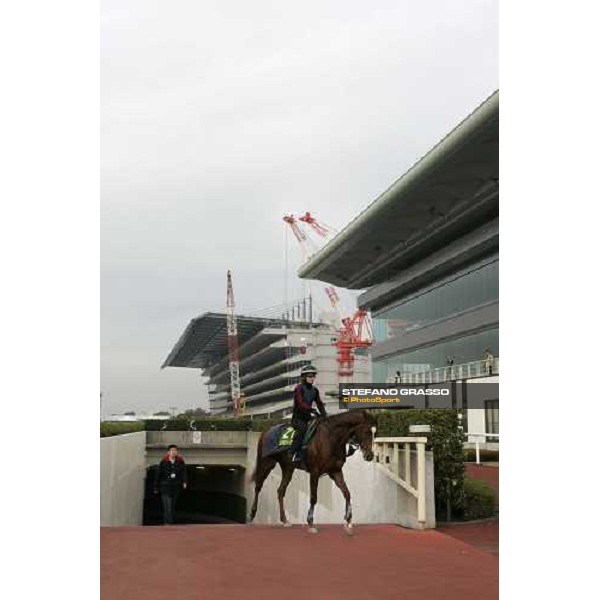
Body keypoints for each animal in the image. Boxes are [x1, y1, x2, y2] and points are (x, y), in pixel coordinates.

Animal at [247, 410, 376, 532]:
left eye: (375, 432)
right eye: (367, 432)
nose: (370, 456)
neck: (330, 438)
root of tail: (265, 431)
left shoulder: (335, 471)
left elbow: (347, 493)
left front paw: (348, 520)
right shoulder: (315, 472)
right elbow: (314, 497)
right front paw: (310, 522)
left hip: (288, 468)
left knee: (280, 491)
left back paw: (284, 520)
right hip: (266, 463)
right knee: (258, 486)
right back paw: (251, 514)